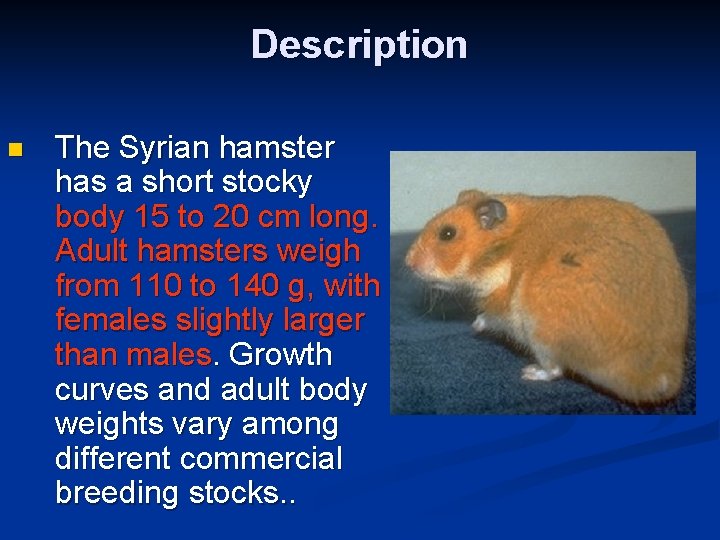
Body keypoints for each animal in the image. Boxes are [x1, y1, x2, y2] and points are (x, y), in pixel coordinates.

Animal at [405, 189, 688, 404]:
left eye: (447, 234)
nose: (407, 262)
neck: (503, 251)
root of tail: (656, 378)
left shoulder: (502, 309)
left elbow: (488, 317)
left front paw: (475, 326)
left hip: (541, 333)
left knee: (554, 370)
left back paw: (529, 373)